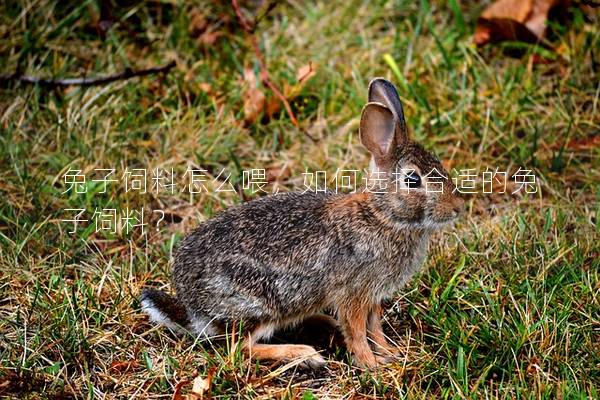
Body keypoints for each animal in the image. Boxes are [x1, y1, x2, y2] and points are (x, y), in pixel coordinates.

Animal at [141, 77, 464, 368]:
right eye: (413, 180)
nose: (458, 207)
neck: (382, 216)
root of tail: (192, 308)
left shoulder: (372, 296)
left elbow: (375, 328)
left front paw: (390, 354)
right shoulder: (353, 293)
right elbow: (358, 332)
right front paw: (371, 365)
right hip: (259, 303)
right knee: (240, 349)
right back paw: (304, 355)